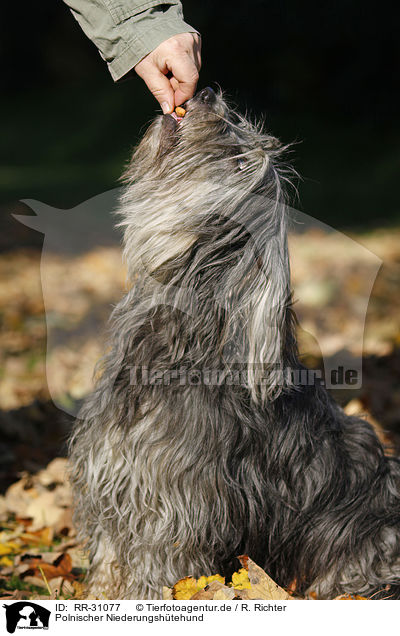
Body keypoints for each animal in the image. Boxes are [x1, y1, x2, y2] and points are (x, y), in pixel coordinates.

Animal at [69, 87, 400, 600]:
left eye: (239, 160)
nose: (206, 91)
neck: (180, 342)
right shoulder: (115, 485)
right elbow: (108, 562)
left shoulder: (170, 514)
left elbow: (152, 577)